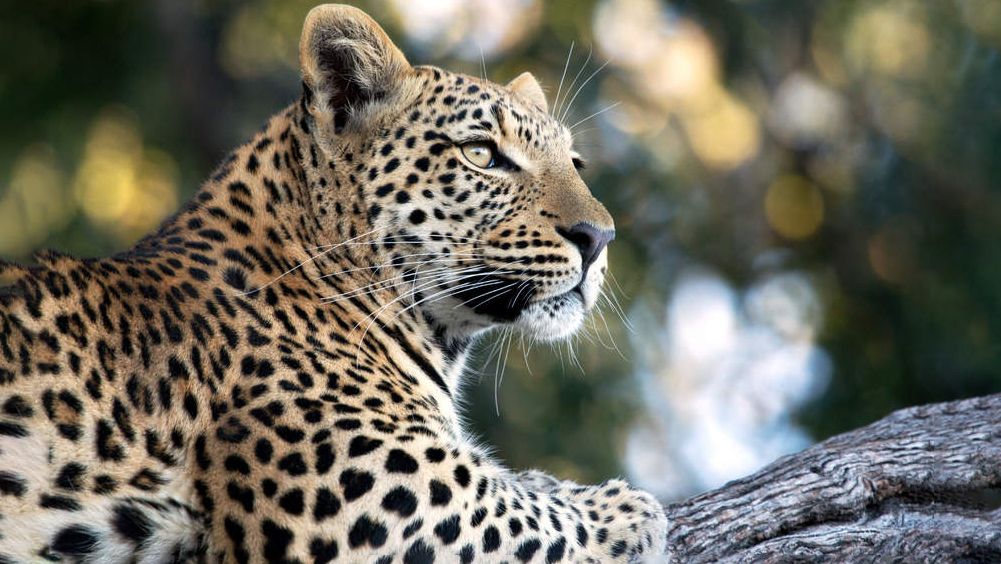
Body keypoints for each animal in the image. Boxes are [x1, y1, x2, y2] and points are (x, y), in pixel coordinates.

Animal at [1, 5, 672, 564]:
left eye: (575, 164)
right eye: (481, 154)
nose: (599, 237)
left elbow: (512, 483)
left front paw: (564, 485)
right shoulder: (375, 503)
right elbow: (519, 514)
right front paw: (623, 510)